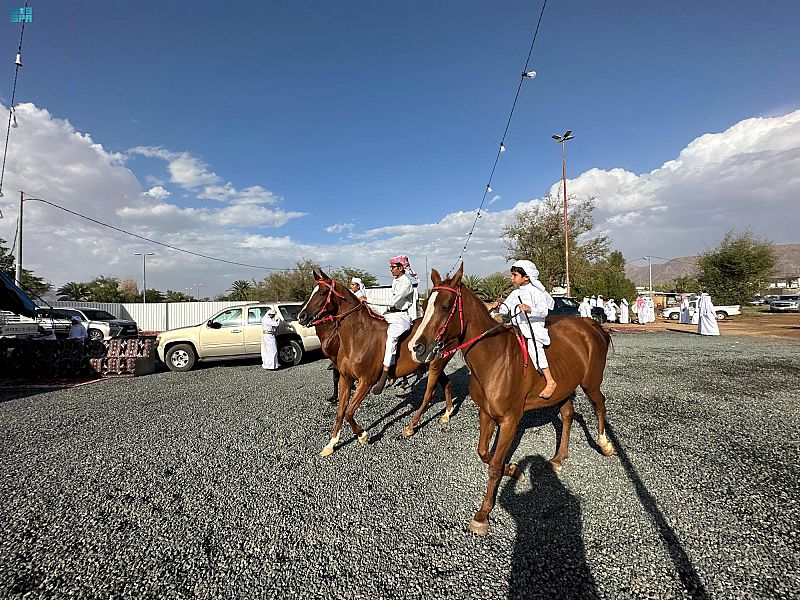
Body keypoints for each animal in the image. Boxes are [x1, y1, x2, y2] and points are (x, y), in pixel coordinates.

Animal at [296, 268, 454, 454]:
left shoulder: (366, 382)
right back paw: (447, 414)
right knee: (447, 383)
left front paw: (362, 435)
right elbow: (341, 411)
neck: (357, 337)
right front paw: (331, 444)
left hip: (436, 364)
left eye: (321, 292)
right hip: (434, 365)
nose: (301, 316)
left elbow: (349, 412)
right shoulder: (345, 378)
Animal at [410, 264, 616, 536]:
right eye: (424, 305)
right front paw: (513, 470)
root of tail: (592, 326)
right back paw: (558, 459)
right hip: (564, 388)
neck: (493, 358)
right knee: (568, 415)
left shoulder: (510, 420)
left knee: (600, 404)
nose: (417, 348)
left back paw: (605, 444)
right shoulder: (486, 414)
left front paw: (483, 514)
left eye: (445, 306)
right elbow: (484, 453)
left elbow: (494, 464)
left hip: (591, 383)